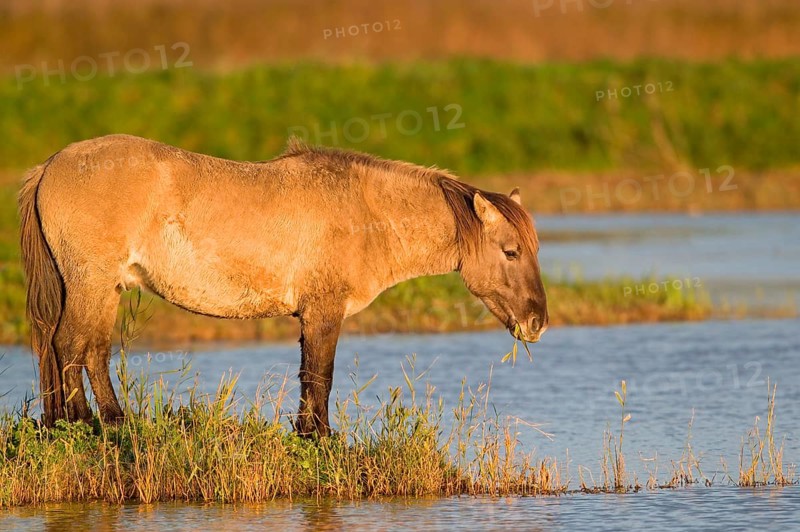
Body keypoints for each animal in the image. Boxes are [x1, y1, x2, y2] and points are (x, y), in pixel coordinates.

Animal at [19, 134, 548, 436]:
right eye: (511, 252)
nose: (537, 321)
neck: (365, 212)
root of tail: (49, 165)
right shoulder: (324, 313)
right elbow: (320, 375)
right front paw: (320, 437)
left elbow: (309, 376)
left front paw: (306, 432)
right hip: (89, 283)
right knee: (69, 345)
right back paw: (81, 423)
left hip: (106, 288)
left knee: (92, 350)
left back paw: (113, 422)